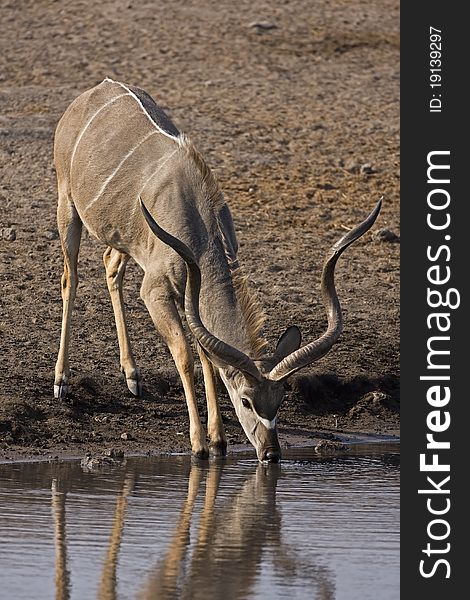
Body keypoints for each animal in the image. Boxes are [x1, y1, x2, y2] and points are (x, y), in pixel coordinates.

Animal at [53, 77, 380, 462]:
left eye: (280, 399)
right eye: (247, 401)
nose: (271, 453)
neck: (195, 219)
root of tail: (94, 91)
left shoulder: (189, 295)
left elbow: (208, 357)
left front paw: (219, 439)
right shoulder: (155, 290)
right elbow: (185, 356)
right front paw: (198, 443)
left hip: (120, 240)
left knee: (110, 265)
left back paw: (132, 375)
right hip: (67, 205)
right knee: (70, 278)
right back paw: (60, 381)